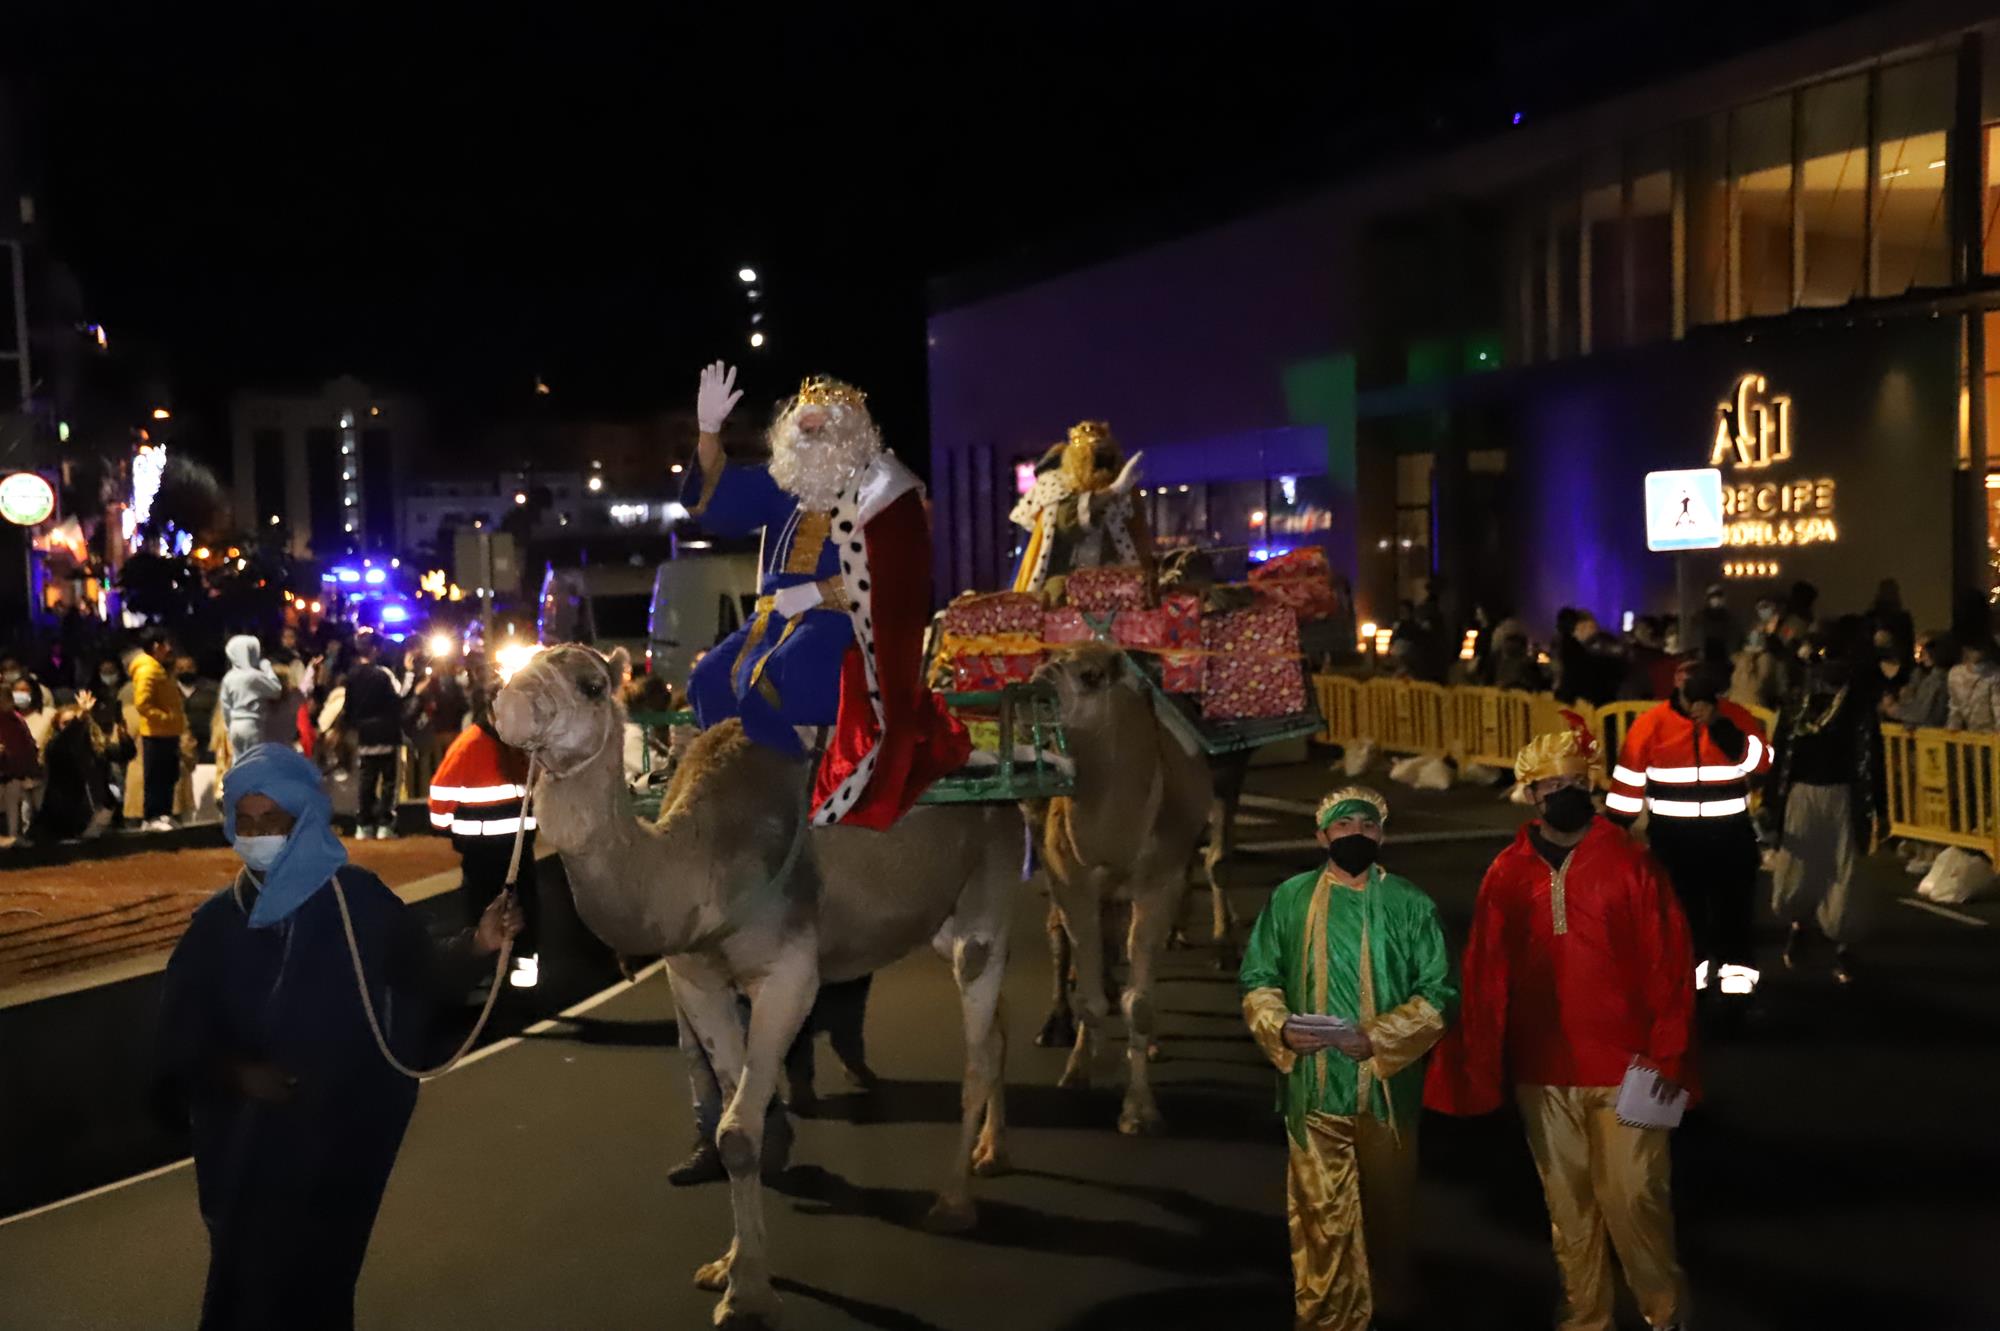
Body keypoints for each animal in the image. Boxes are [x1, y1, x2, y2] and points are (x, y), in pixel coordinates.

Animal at [498, 639, 1024, 1319]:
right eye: (517, 663)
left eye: (590, 684)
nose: (509, 704)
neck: (698, 867)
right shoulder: (697, 978)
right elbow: (731, 1131)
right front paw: (729, 1269)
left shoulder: (789, 974)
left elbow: (739, 1130)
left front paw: (748, 1293)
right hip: (943, 919)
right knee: (998, 1030)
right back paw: (994, 1153)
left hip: (989, 891)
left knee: (978, 1049)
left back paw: (954, 1203)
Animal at [1032, 643, 1216, 1127]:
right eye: (1048, 658)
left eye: (1091, 675)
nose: (1036, 681)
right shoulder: (1070, 881)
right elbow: (1089, 994)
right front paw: (1085, 1068)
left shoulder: (1160, 882)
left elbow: (1141, 1002)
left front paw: (1139, 1109)